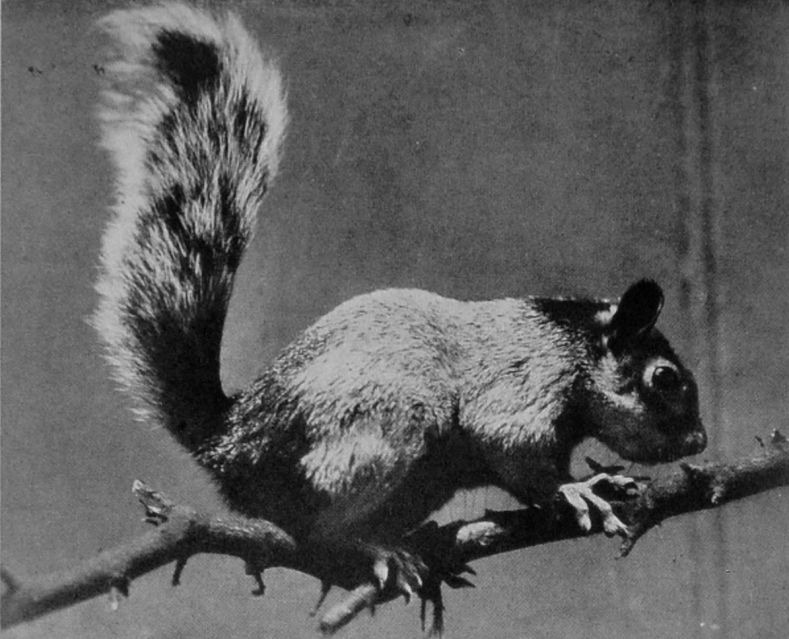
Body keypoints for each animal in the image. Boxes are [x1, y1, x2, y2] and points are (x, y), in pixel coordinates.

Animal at [94, 3, 706, 603]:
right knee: (317, 529)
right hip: (383, 428)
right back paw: (374, 547)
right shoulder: (524, 390)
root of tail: (229, 444)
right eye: (665, 378)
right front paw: (580, 488)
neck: (573, 343)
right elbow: (515, 452)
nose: (700, 440)